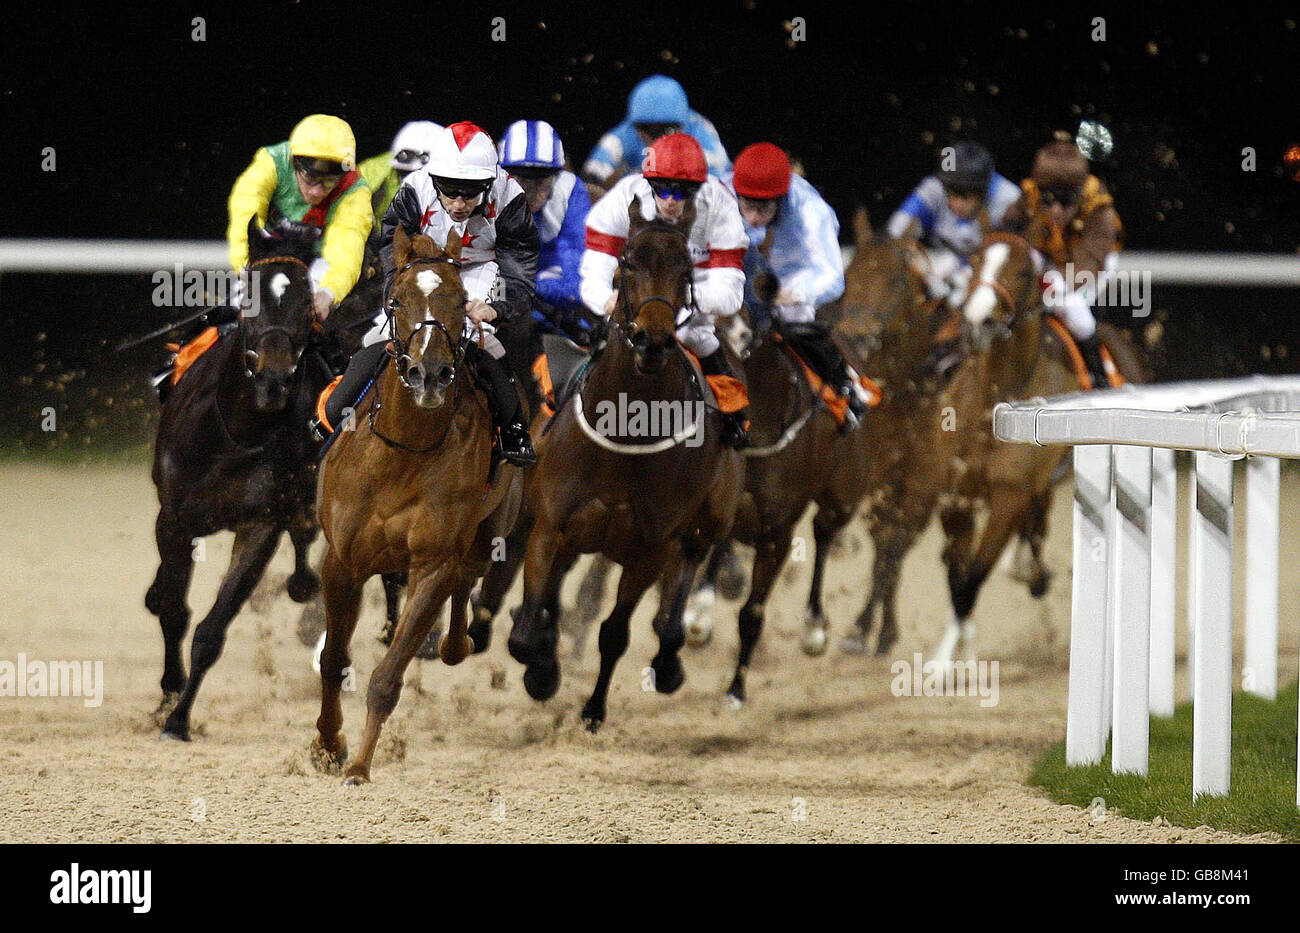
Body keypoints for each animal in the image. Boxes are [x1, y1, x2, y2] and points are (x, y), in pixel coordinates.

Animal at [148, 223, 330, 743]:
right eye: (248, 296)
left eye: (306, 302)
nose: (273, 379)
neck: (237, 431)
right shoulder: (175, 519)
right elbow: (174, 610)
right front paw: (168, 695)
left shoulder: (260, 526)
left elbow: (211, 631)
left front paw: (179, 719)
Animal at [312, 230, 520, 784]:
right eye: (397, 301)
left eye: (460, 302)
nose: (430, 374)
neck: (402, 451)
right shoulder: (341, 561)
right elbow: (333, 660)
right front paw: (328, 745)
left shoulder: (431, 563)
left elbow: (387, 677)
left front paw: (359, 767)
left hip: (490, 526)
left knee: (467, 577)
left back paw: (454, 644)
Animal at [501, 201, 743, 732]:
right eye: (628, 261)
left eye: (687, 270)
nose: (652, 340)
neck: (626, 432)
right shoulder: (551, 526)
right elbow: (527, 632)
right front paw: (542, 671)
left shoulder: (650, 546)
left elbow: (614, 633)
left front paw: (593, 709)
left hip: (707, 522)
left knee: (682, 583)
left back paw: (669, 659)